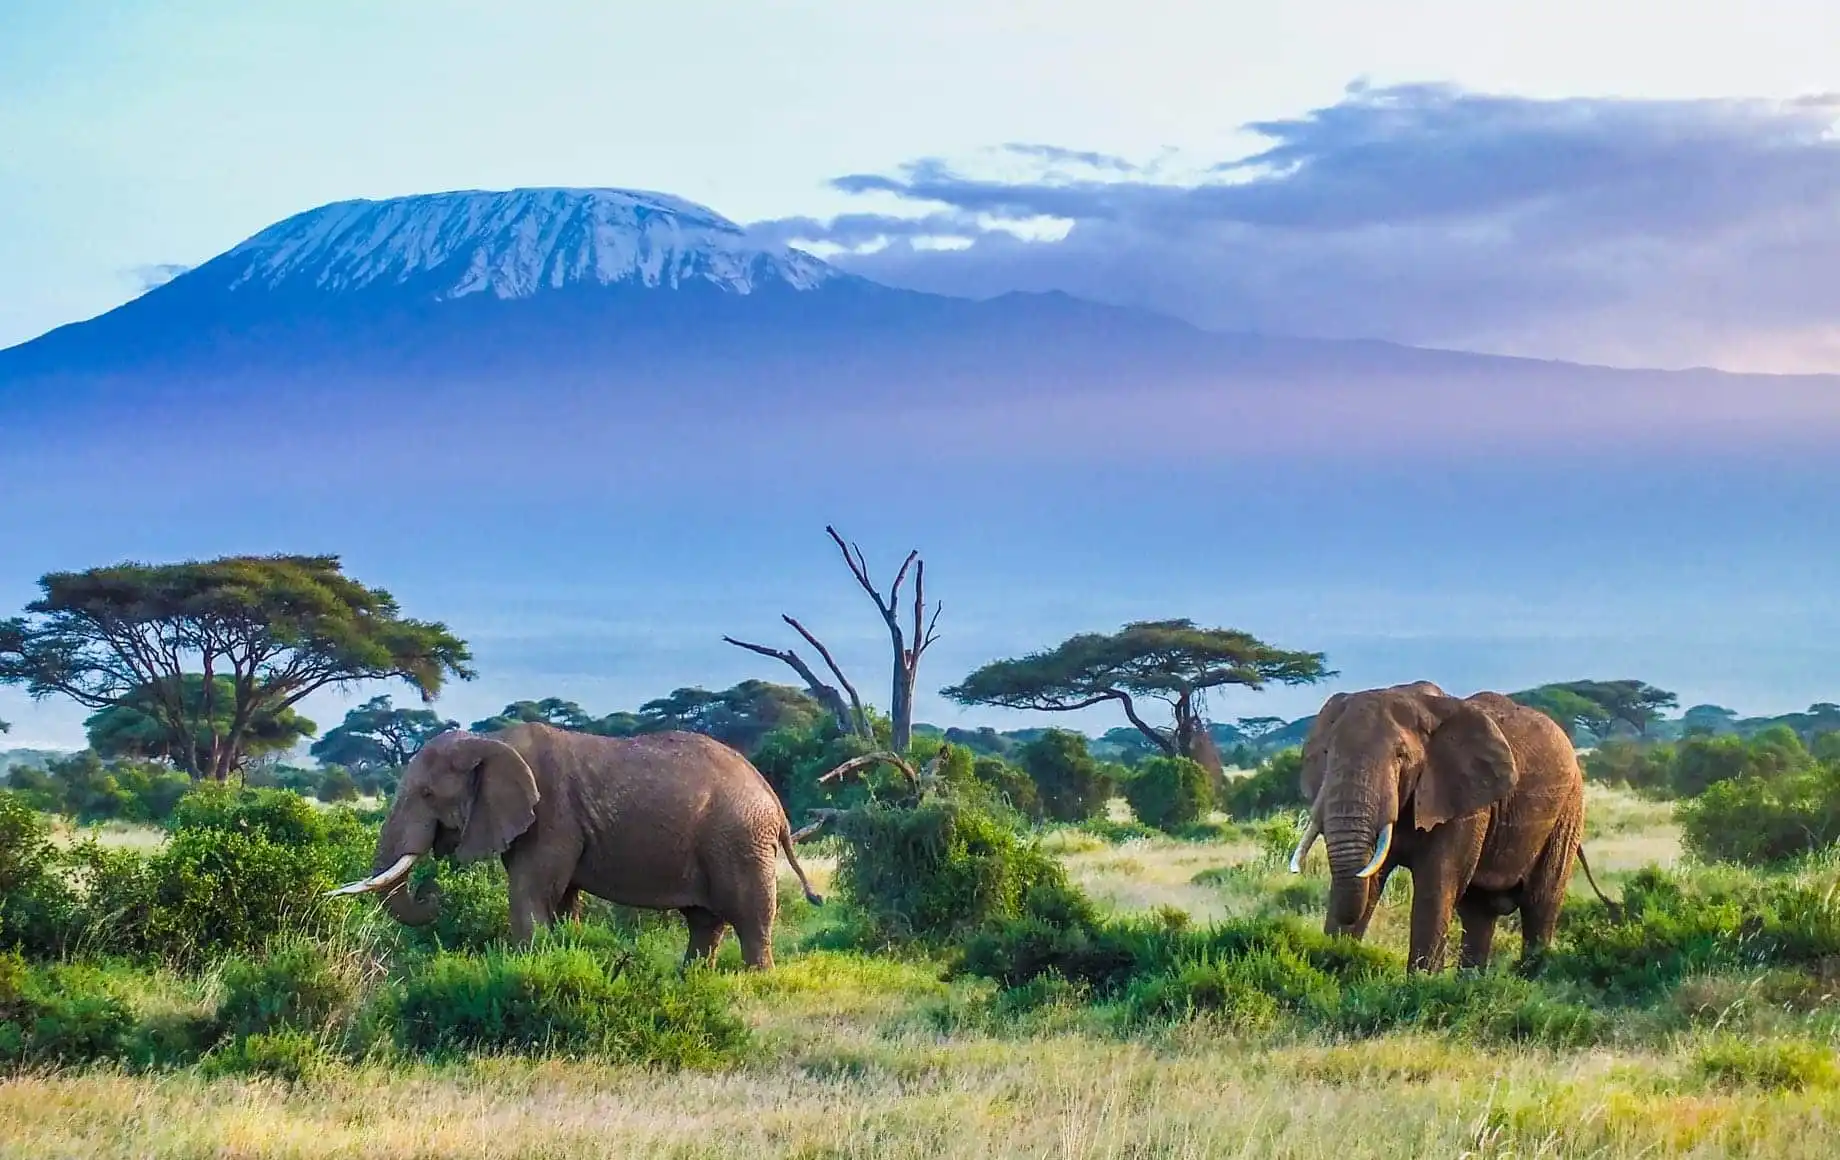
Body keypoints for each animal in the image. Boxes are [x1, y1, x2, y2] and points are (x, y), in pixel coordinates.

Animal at [327, 729, 824, 972]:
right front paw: (561, 955)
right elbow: (561, 899)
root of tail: (774, 800)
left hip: (739, 839)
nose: (433, 892)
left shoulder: (551, 816)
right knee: (704, 920)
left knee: (749, 913)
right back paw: (693, 978)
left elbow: (530, 893)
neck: (491, 741)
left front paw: (526, 968)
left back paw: (755, 978)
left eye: (428, 794)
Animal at [1288, 684, 1604, 979]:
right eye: (1327, 753)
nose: (1332, 955)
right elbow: (1372, 877)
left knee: (1540, 903)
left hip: (1569, 810)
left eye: (1401, 755)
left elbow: (1437, 882)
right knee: (1479, 911)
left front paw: (1421, 984)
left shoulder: (1463, 800)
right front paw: (1334, 968)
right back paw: (1471, 984)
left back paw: (1529, 980)